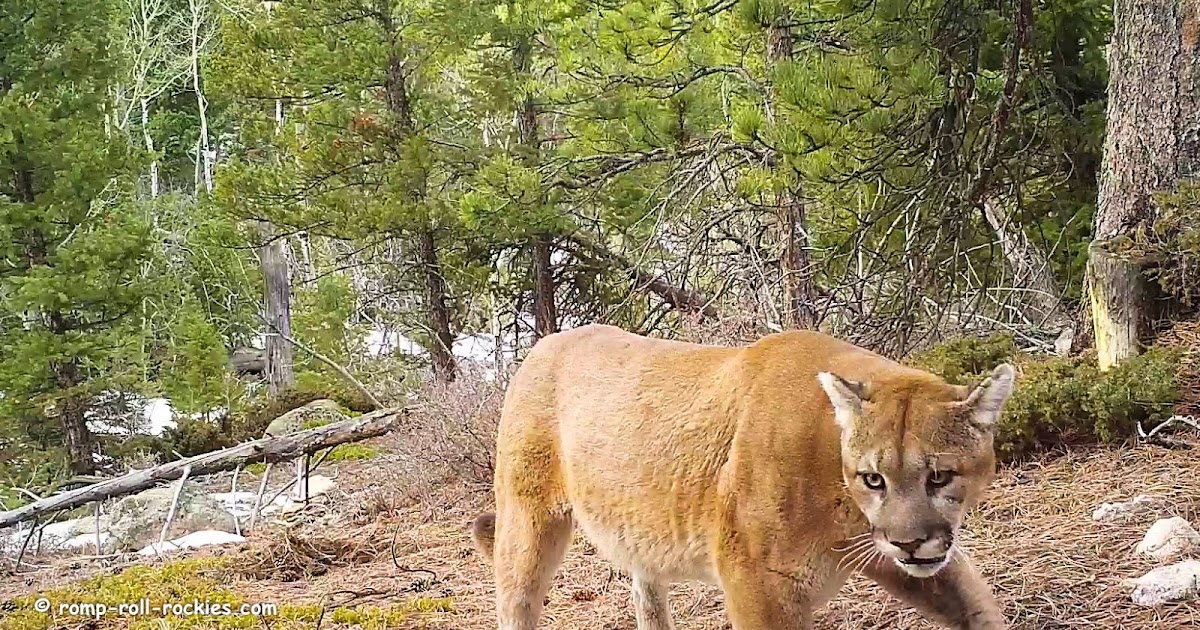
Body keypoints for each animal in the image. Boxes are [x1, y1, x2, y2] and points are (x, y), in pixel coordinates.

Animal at [471, 324, 1014, 629]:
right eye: (873, 478)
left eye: (940, 476)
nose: (909, 543)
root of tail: (544, 342)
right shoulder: (758, 585)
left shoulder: (904, 557)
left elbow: (977, 607)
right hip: (527, 525)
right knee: (515, 601)